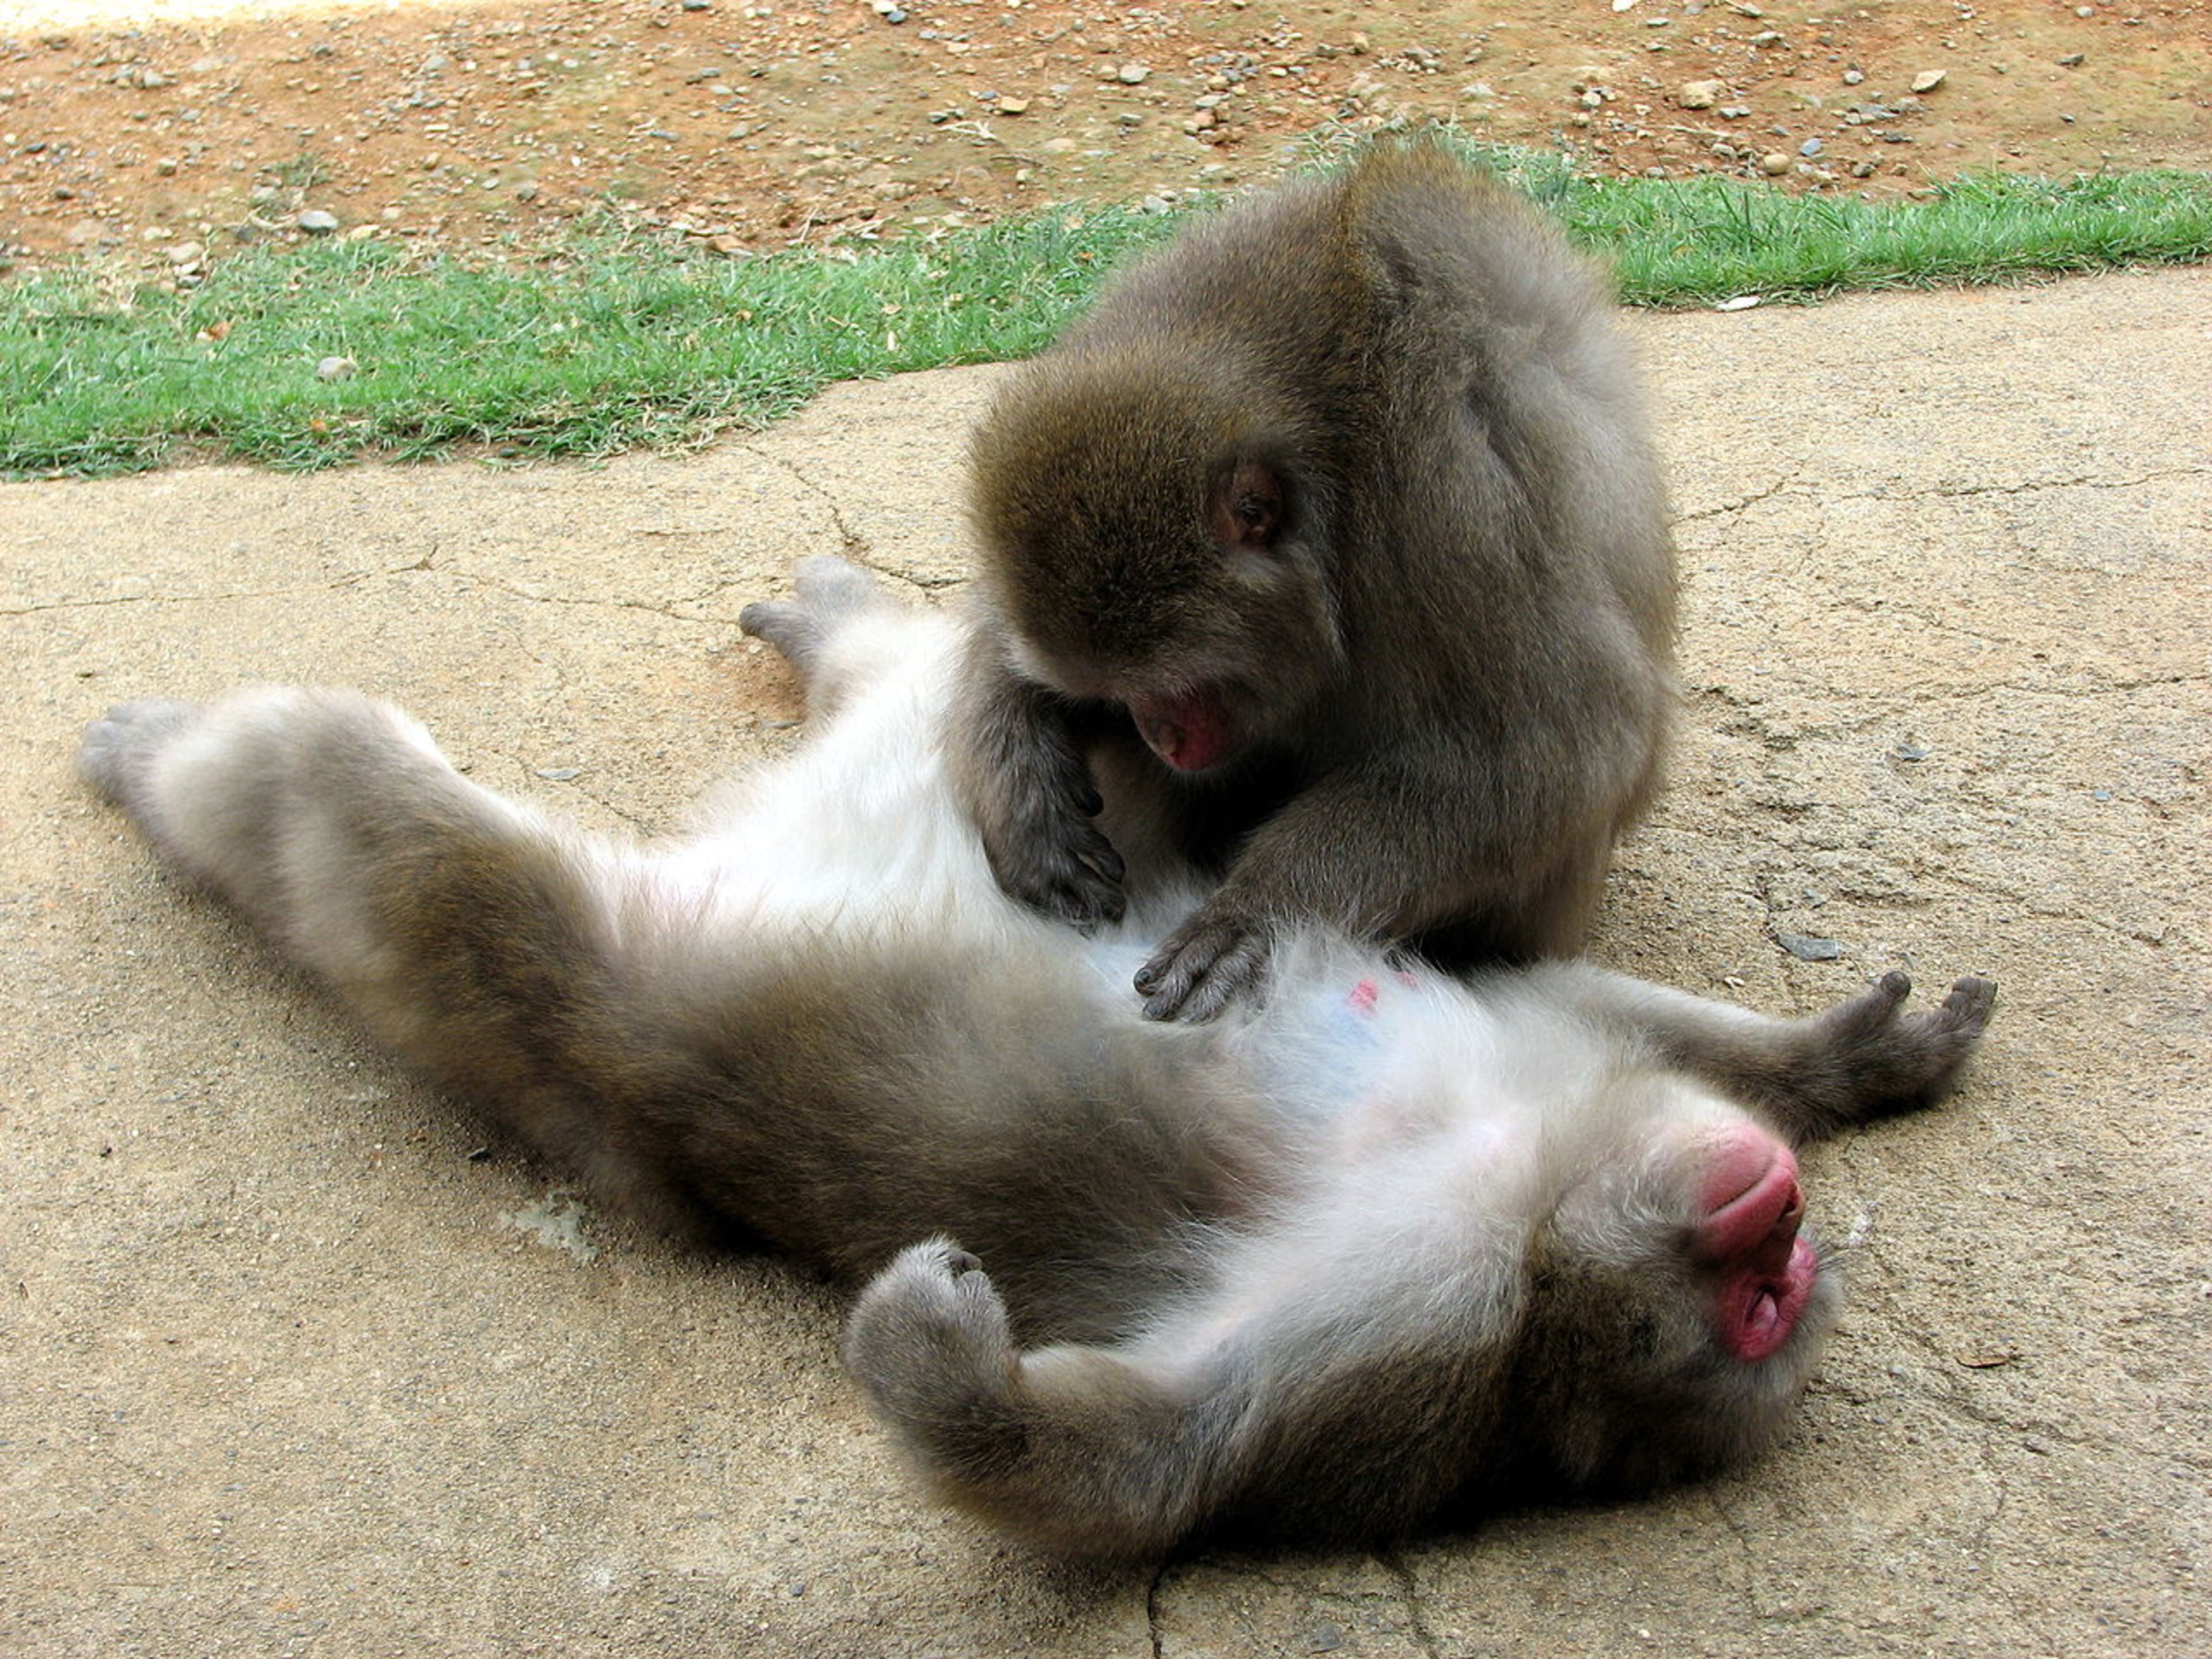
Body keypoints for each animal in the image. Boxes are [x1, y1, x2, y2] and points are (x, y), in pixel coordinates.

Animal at [78, 556, 1992, 1559]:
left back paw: (174, 771)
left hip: (570, 979)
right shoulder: (1540, 1103)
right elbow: (1589, 1001)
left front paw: (943, 1372)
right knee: (1010, 681)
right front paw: (1843, 1059)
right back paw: (848, 618)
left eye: (1761, 1307)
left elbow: (1154, 1453)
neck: (1523, 1182)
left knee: (366, 819)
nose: (1781, 1216)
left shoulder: (1434, 1312)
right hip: (1028, 770)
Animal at [955, 139, 1679, 1020]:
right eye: (1119, 695)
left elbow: (1551, 754)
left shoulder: (1455, 501)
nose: (1161, 737)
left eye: (1179, 685)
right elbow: (1000, 627)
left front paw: (1256, 913)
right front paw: (1028, 805)